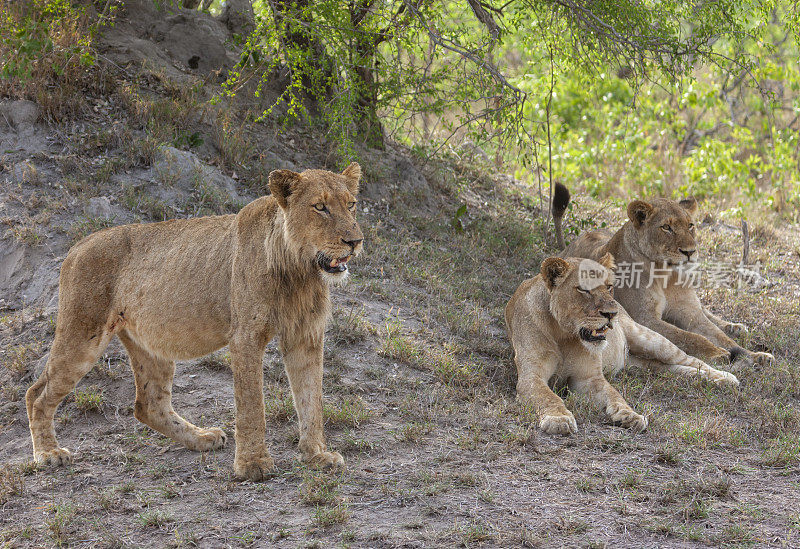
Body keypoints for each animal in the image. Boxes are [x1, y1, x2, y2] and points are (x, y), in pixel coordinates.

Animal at [24, 164, 362, 480]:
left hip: (151, 343)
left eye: (351, 204)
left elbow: (311, 398)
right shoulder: (246, 335)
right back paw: (48, 454)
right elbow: (252, 404)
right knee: (36, 393)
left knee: (149, 405)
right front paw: (253, 465)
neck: (300, 272)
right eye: (320, 207)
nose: (355, 241)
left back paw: (202, 438)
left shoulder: (307, 334)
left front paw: (317, 455)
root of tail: (77, 245)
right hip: (82, 333)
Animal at [506, 255, 736, 434]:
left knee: (691, 359)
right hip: (641, 364)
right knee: (666, 368)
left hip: (649, 338)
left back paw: (725, 377)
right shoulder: (530, 377)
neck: (564, 334)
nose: (611, 314)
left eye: (608, 287)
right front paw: (558, 419)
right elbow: (548, 397)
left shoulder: (589, 378)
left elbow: (614, 395)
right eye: (584, 290)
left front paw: (630, 415)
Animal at [552, 184, 772, 368]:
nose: (690, 251)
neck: (666, 275)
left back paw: (735, 327)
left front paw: (753, 355)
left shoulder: (689, 310)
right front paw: (717, 353)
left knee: (709, 313)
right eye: (667, 227)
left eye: (690, 225)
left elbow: (718, 335)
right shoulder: (645, 318)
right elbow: (689, 337)